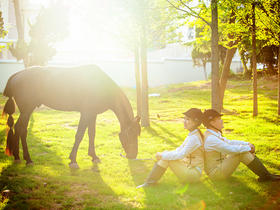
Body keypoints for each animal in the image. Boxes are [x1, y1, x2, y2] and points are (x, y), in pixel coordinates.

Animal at [2, 65, 141, 168]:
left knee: (19, 128)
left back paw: (18, 157)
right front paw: (73, 160)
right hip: (27, 110)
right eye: (130, 134)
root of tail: (16, 75)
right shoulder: (85, 113)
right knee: (21, 129)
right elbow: (79, 135)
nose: (133, 155)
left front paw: (94, 156)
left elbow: (91, 134)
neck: (101, 86)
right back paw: (28, 159)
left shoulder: (92, 114)